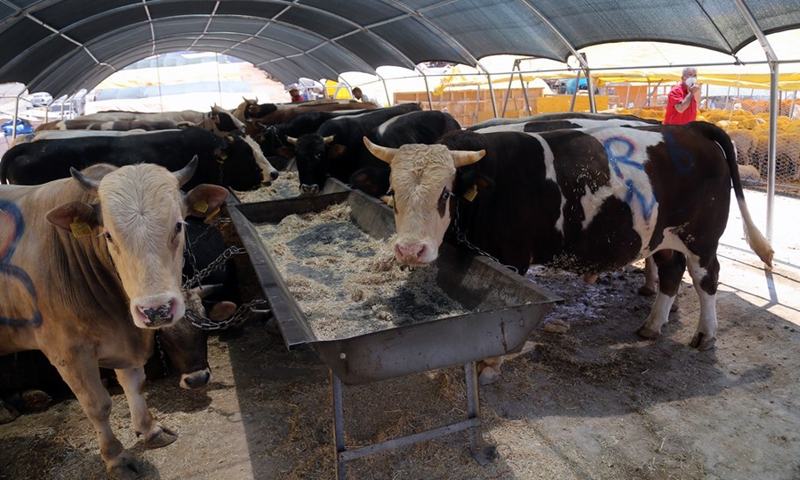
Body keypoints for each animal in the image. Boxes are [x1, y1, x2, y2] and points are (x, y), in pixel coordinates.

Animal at [0, 160, 228, 476]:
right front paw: (116, 457)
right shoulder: (68, 352)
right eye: (108, 235)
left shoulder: (127, 340)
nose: (156, 309)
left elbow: (135, 383)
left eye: (179, 225)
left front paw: (150, 430)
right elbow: (98, 405)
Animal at [366, 123, 772, 382]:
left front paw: (491, 365)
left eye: (445, 194)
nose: (410, 250)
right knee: (671, 275)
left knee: (706, 280)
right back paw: (652, 326)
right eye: (392, 191)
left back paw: (705, 335)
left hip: (701, 239)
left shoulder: (511, 259)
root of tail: (690, 130)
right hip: (661, 237)